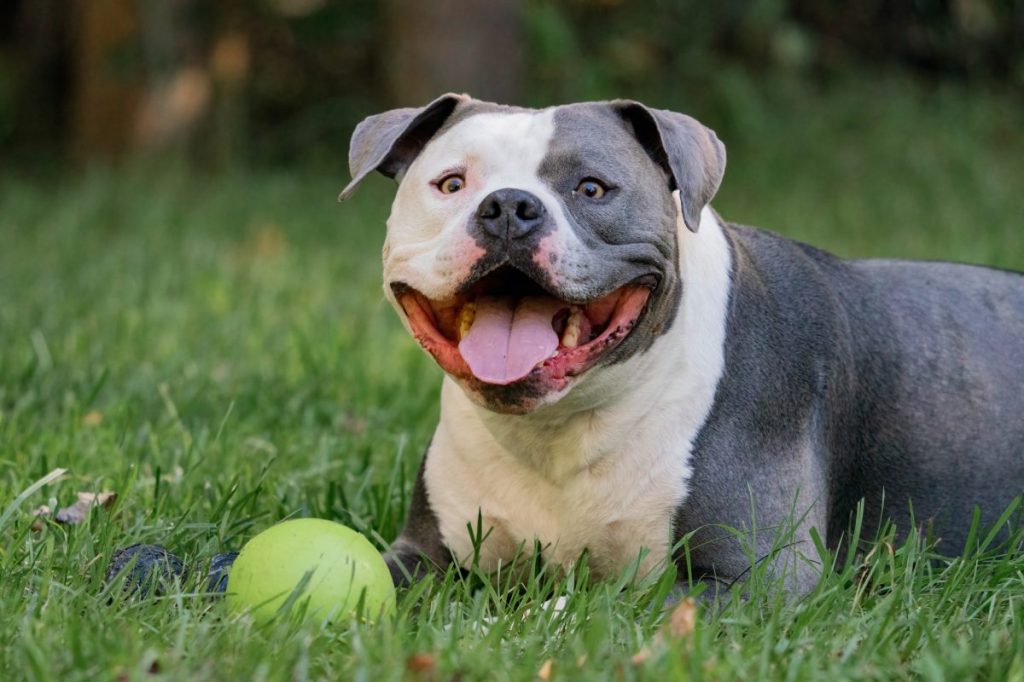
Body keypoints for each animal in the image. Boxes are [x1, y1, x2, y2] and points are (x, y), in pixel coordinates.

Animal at [342, 93, 1024, 593]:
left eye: (592, 188)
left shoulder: (758, 578)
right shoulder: (420, 553)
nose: (509, 205)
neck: (557, 427)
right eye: (451, 184)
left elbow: (591, 610)